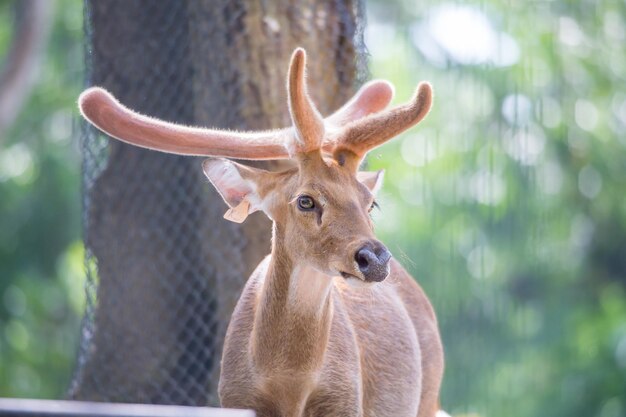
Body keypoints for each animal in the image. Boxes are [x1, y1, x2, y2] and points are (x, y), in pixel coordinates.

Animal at [78, 47, 444, 414]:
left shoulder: (345, 399)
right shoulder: (234, 398)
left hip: (427, 395)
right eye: (306, 201)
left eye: (370, 204)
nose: (375, 258)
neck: (288, 383)